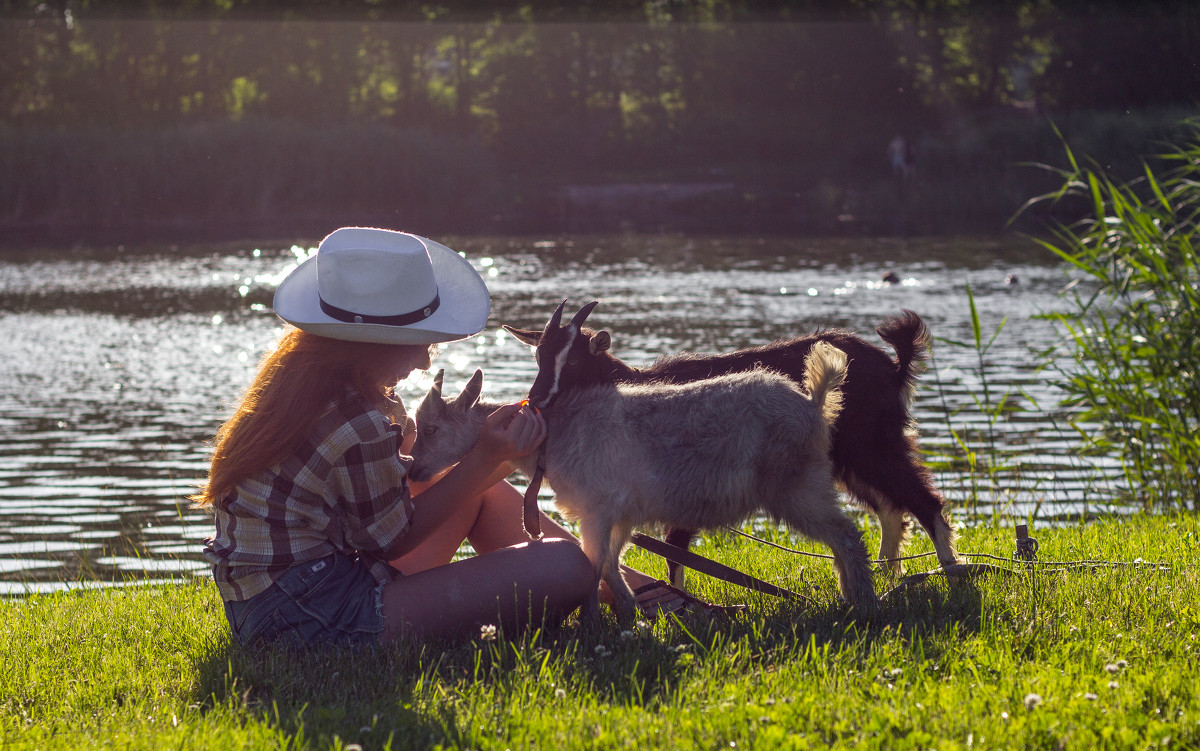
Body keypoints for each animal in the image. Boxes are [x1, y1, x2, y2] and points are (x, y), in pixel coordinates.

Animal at [410, 304, 873, 619]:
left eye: (430, 428)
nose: (413, 470)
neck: (553, 434)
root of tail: (813, 402)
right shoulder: (619, 515)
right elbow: (610, 565)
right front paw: (630, 617)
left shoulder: (597, 510)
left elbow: (593, 565)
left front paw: (595, 624)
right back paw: (850, 598)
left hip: (797, 485)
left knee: (847, 535)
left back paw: (864, 603)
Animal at [504, 299, 955, 578]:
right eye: (539, 357)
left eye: (573, 361)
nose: (537, 399)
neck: (630, 381)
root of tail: (893, 366)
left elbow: (676, 549)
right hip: (847, 457)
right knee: (890, 508)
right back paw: (889, 576)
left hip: (871, 443)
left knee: (920, 500)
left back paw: (950, 573)